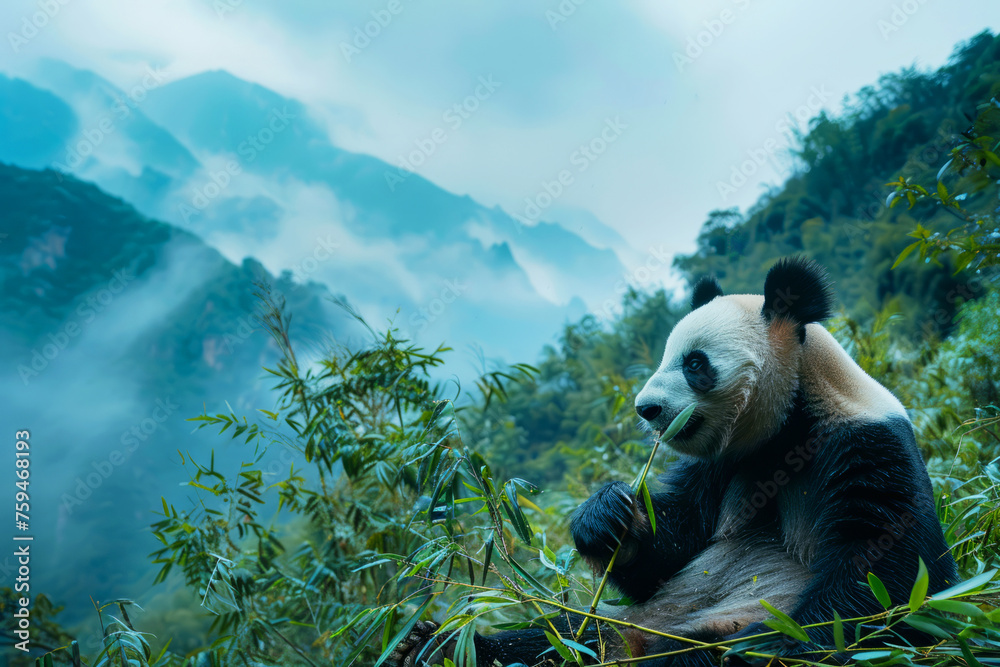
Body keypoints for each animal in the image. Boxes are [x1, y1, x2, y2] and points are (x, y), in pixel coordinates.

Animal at [391, 257, 958, 667]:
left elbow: (889, 573)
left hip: (705, 628)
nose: (647, 408)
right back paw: (432, 647)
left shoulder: (864, 447)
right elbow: (674, 545)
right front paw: (607, 517)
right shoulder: (721, 465)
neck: (789, 420)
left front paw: (775, 646)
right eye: (665, 355)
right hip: (628, 625)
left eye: (695, 363)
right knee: (561, 637)